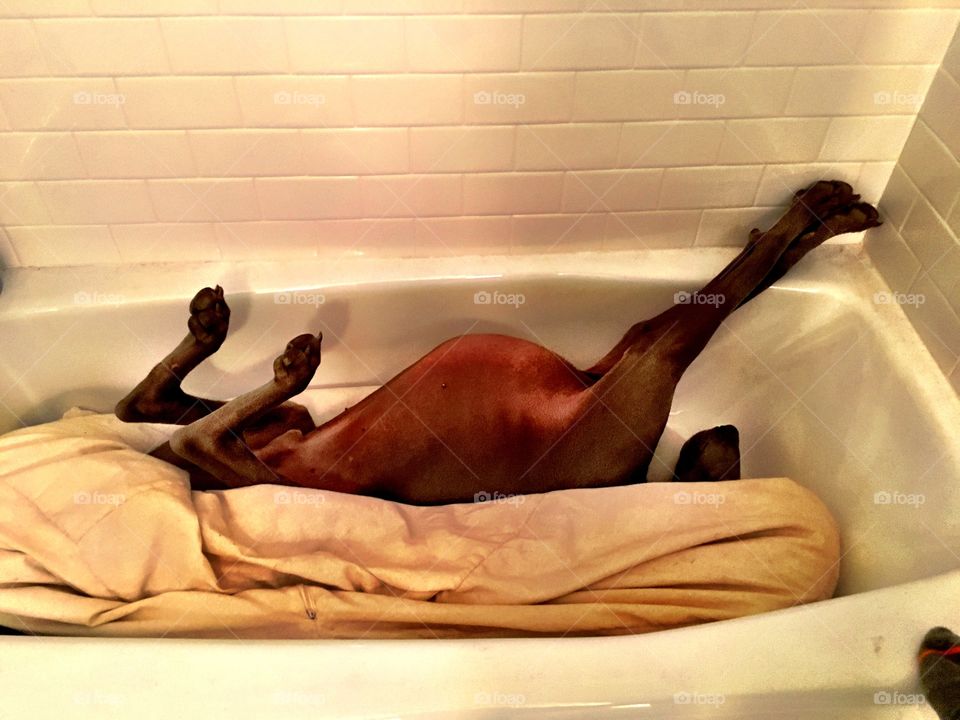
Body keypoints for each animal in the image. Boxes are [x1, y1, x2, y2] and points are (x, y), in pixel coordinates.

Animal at [116, 180, 880, 506]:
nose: (729, 432)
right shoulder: (639, 354)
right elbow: (744, 277)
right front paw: (821, 215)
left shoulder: (644, 358)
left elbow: (740, 281)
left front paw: (814, 220)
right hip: (283, 440)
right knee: (156, 414)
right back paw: (216, 335)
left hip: (281, 457)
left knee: (190, 430)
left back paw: (271, 362)